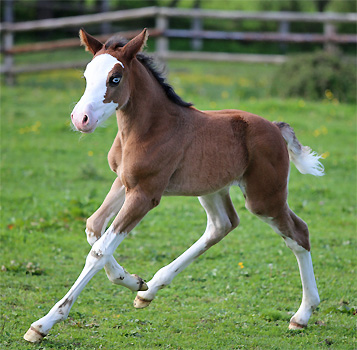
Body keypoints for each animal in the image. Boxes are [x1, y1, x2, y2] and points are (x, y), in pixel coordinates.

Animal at [23, 28, 322, 344]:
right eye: (86, 75)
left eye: (115, 78)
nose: (81, 119)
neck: (149, 129)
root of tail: (276, 128)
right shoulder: (123, 182)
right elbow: (94, 227)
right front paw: (133, 281)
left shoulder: (146, 193)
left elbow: (99, 250)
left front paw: (43, 324)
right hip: (211, 189)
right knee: (222, 224)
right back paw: (150, 291)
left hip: (264, 197)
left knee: (298, 232)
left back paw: (302, 315)